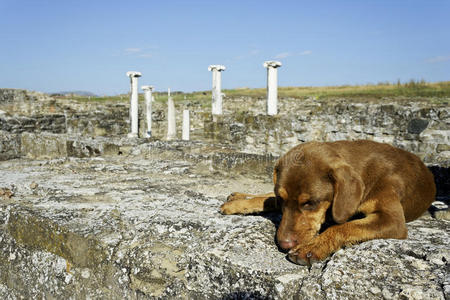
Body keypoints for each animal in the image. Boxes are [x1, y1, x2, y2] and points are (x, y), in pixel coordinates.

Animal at [221, 141, 436, 264]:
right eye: (283, 199)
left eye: (310, 203)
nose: (283, 244)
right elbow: (270, 199)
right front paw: (239, 204)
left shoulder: (392, 220)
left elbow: (343, 227)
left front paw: (312, 247)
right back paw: (237, 198)